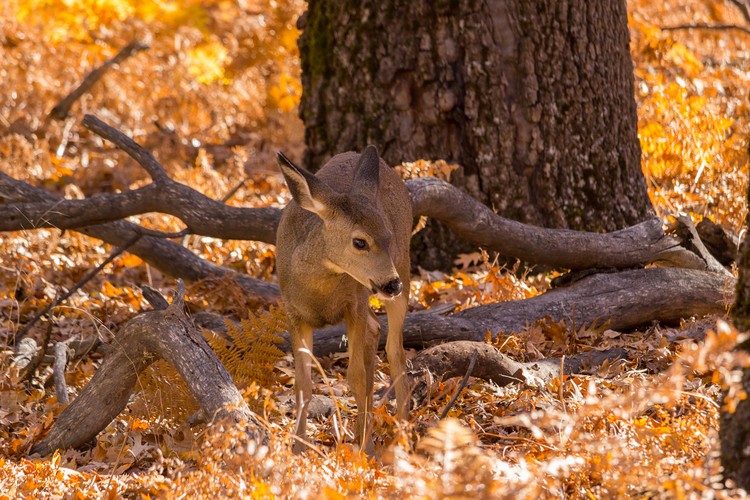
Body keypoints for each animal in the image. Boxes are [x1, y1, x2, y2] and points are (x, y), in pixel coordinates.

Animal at [275, 145, 412, 454]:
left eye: (387, 236)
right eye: (359, 241)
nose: (392, 283)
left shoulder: (355, 305)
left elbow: (356, 377)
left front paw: (366, 449)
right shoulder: (292, 313)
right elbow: (302, 383)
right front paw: (297, 448)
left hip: (403, 267)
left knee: (395, 350)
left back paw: (401, 432)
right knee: (376, 329)